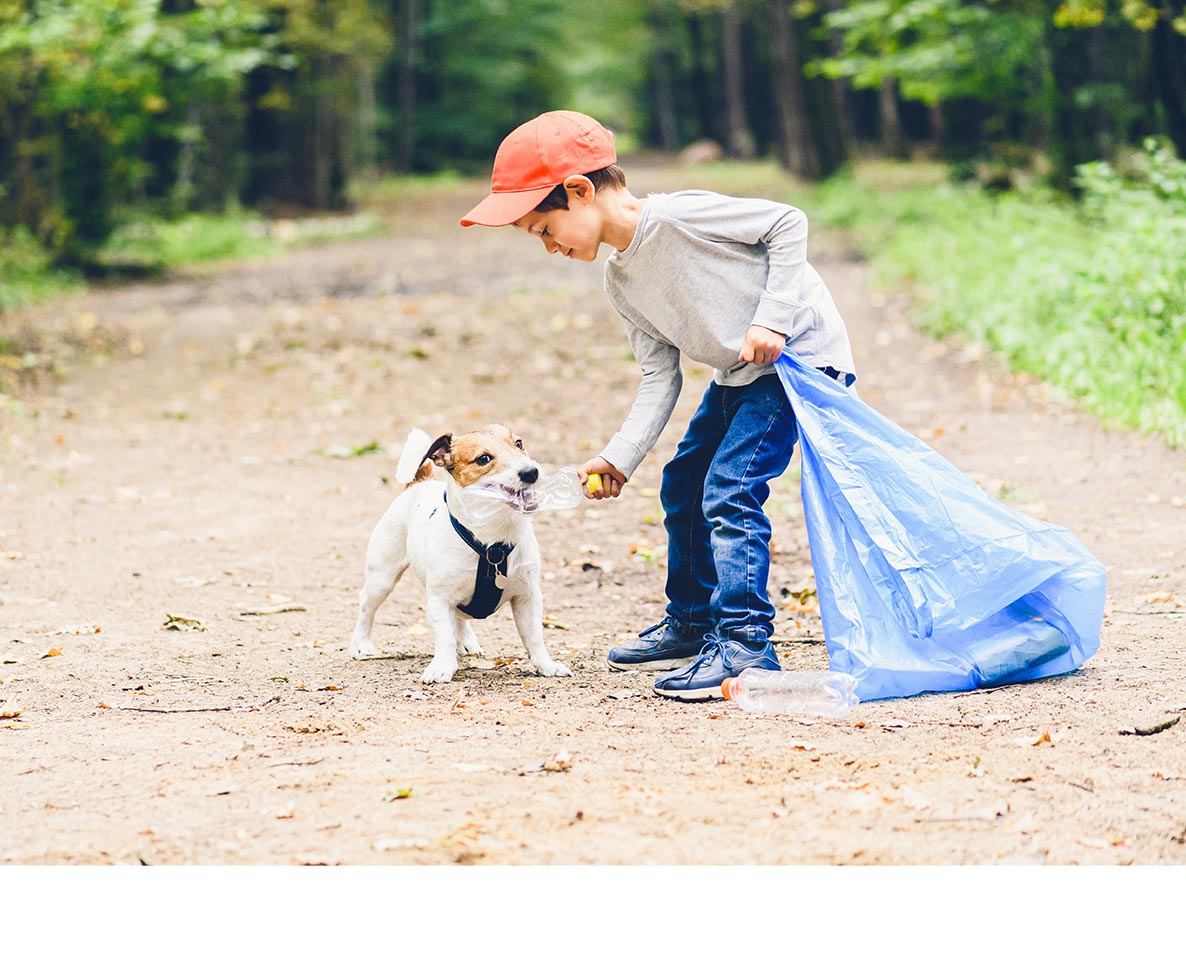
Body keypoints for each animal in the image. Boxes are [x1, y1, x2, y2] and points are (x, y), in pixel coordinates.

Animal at [346, 422, 574, 678]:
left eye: (518, 443)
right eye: (483, 458)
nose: (531, 472)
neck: (493, 544)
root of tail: (419, 483)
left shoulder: (527, 596)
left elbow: (534, 636)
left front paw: (547, 665)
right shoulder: (439, 599)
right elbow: (444, 637)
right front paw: (442, 667)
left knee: (460, 616)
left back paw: (466, 641)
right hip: (382, 578)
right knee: (367, 605)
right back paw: (361, 644)